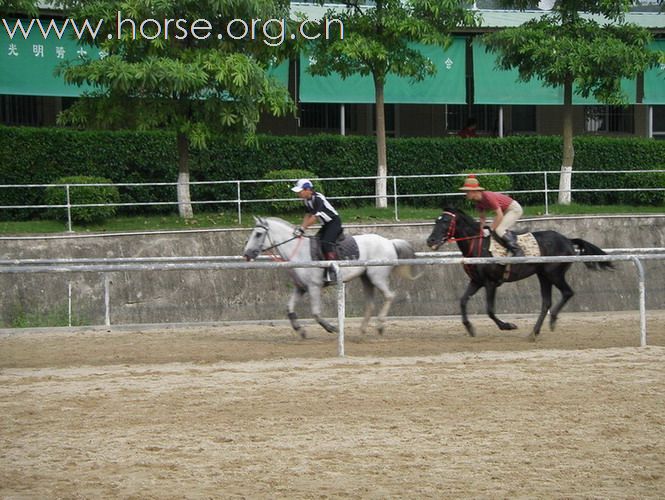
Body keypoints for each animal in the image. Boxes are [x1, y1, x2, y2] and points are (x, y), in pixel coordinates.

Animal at [243, 217, 420, 338]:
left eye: (258, 234)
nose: (246, 254)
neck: (297, 251)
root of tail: (390, 242)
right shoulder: (300, 288)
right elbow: (290, 308)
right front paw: (300, 330)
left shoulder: (314, 287)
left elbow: (315, 313)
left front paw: (332, 328)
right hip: (366, 278)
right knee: (370, 304)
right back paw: (362, 330)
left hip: (377, 277)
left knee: (389, 296)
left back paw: (380, 326)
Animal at [426, 207, 612, 340]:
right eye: (436, 221)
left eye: (446, 222)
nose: (430, 240)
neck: (478, 246)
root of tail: (567, 239)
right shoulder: (476, 281)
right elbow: (463, 301)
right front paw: (469, 327)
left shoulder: (490, 283)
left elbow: (489, 310)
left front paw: (507, 326)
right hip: (543, 275)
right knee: (546, 302)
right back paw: (534, 332)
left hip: (553, 273)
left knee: (567, 292)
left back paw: (552, 321)